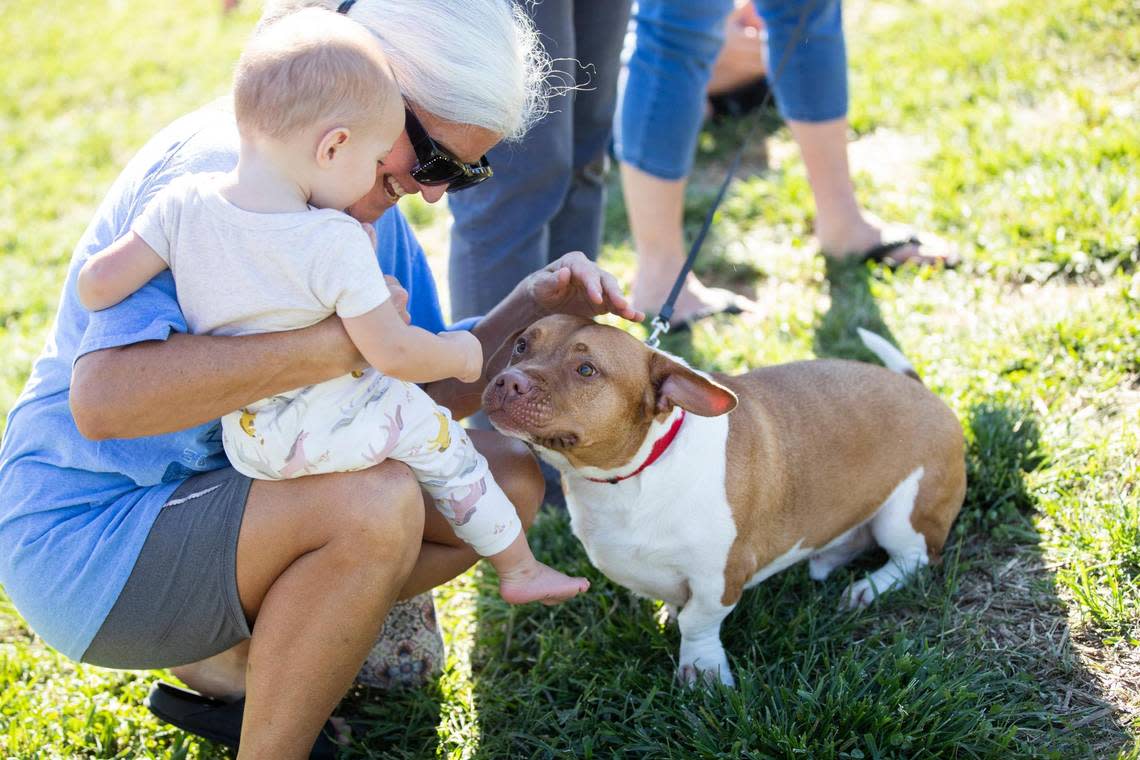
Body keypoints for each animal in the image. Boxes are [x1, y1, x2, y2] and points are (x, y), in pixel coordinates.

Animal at [478, 319, 962, 688]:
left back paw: (869, 588)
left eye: (585, 369)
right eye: (522, 345)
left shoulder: (718, 578)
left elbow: (696, 623)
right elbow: (677, 606)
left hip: (903, 517)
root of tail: (923, 391)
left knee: (916, 557)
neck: (633, 476)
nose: (507, 380)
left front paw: (702, 670)